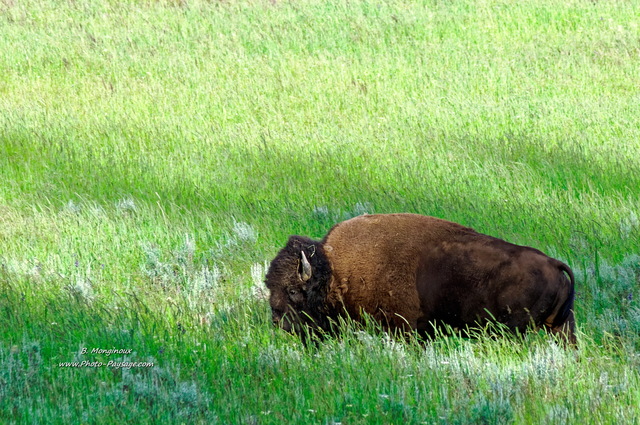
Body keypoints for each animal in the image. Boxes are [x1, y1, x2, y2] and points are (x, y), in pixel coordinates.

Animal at [264, 214, 576, 342]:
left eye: (293, 290)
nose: (277, 320)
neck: (335, 272)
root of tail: (553, 264)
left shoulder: (404, 327)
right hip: (560, 329)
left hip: (514, 331)